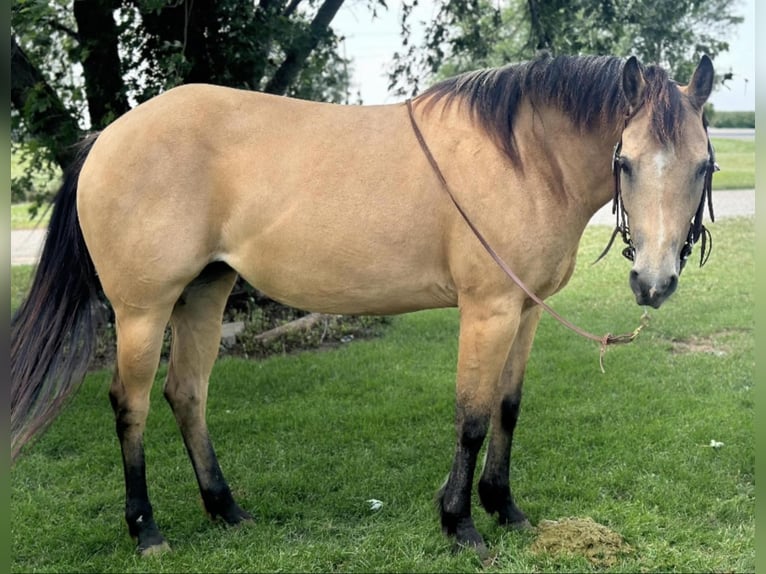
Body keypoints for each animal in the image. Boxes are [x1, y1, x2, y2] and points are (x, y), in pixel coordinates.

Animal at [13, 54, 720, 560]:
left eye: (704, 167)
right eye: (626, 162)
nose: (653, 283)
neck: (522, 160)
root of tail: (106, 137)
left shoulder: (526, 310)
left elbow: (508, 409)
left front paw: (505, 507)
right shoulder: (488, 310)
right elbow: (471, 415)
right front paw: (461, 524)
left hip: (205, 294)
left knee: (186, 394)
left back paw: (226, 509)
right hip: (142, 310)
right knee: (129, 405)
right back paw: (147, 530)